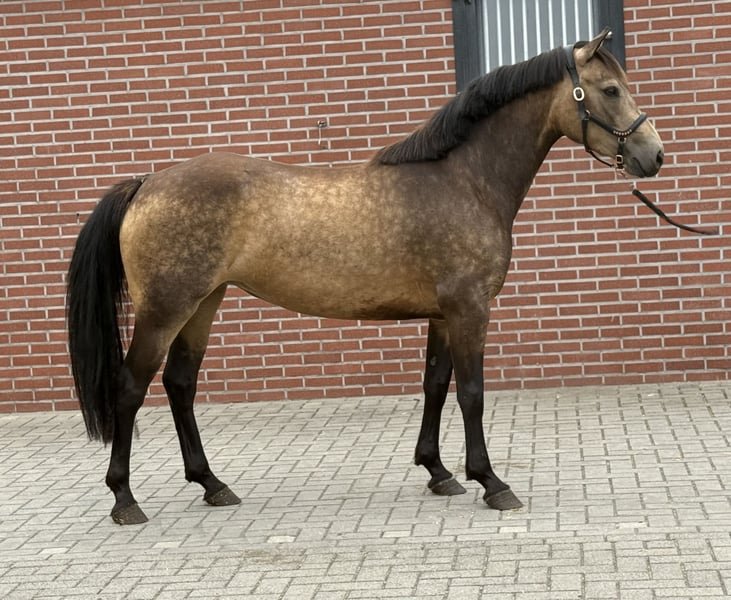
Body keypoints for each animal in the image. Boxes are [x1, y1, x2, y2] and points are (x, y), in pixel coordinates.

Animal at [67, 29, 664, 524]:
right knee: (130, 387)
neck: (463, 181)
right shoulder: (470, 309)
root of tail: (147, 183)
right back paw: (125, 500)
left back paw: (212, 484)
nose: (653, 156)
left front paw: (439, 473)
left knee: (180, 384)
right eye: (611, 90)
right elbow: (471, 393)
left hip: (204, 303)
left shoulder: (443, 315)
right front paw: (491, 482)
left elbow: (435, 385)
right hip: (166, 309)